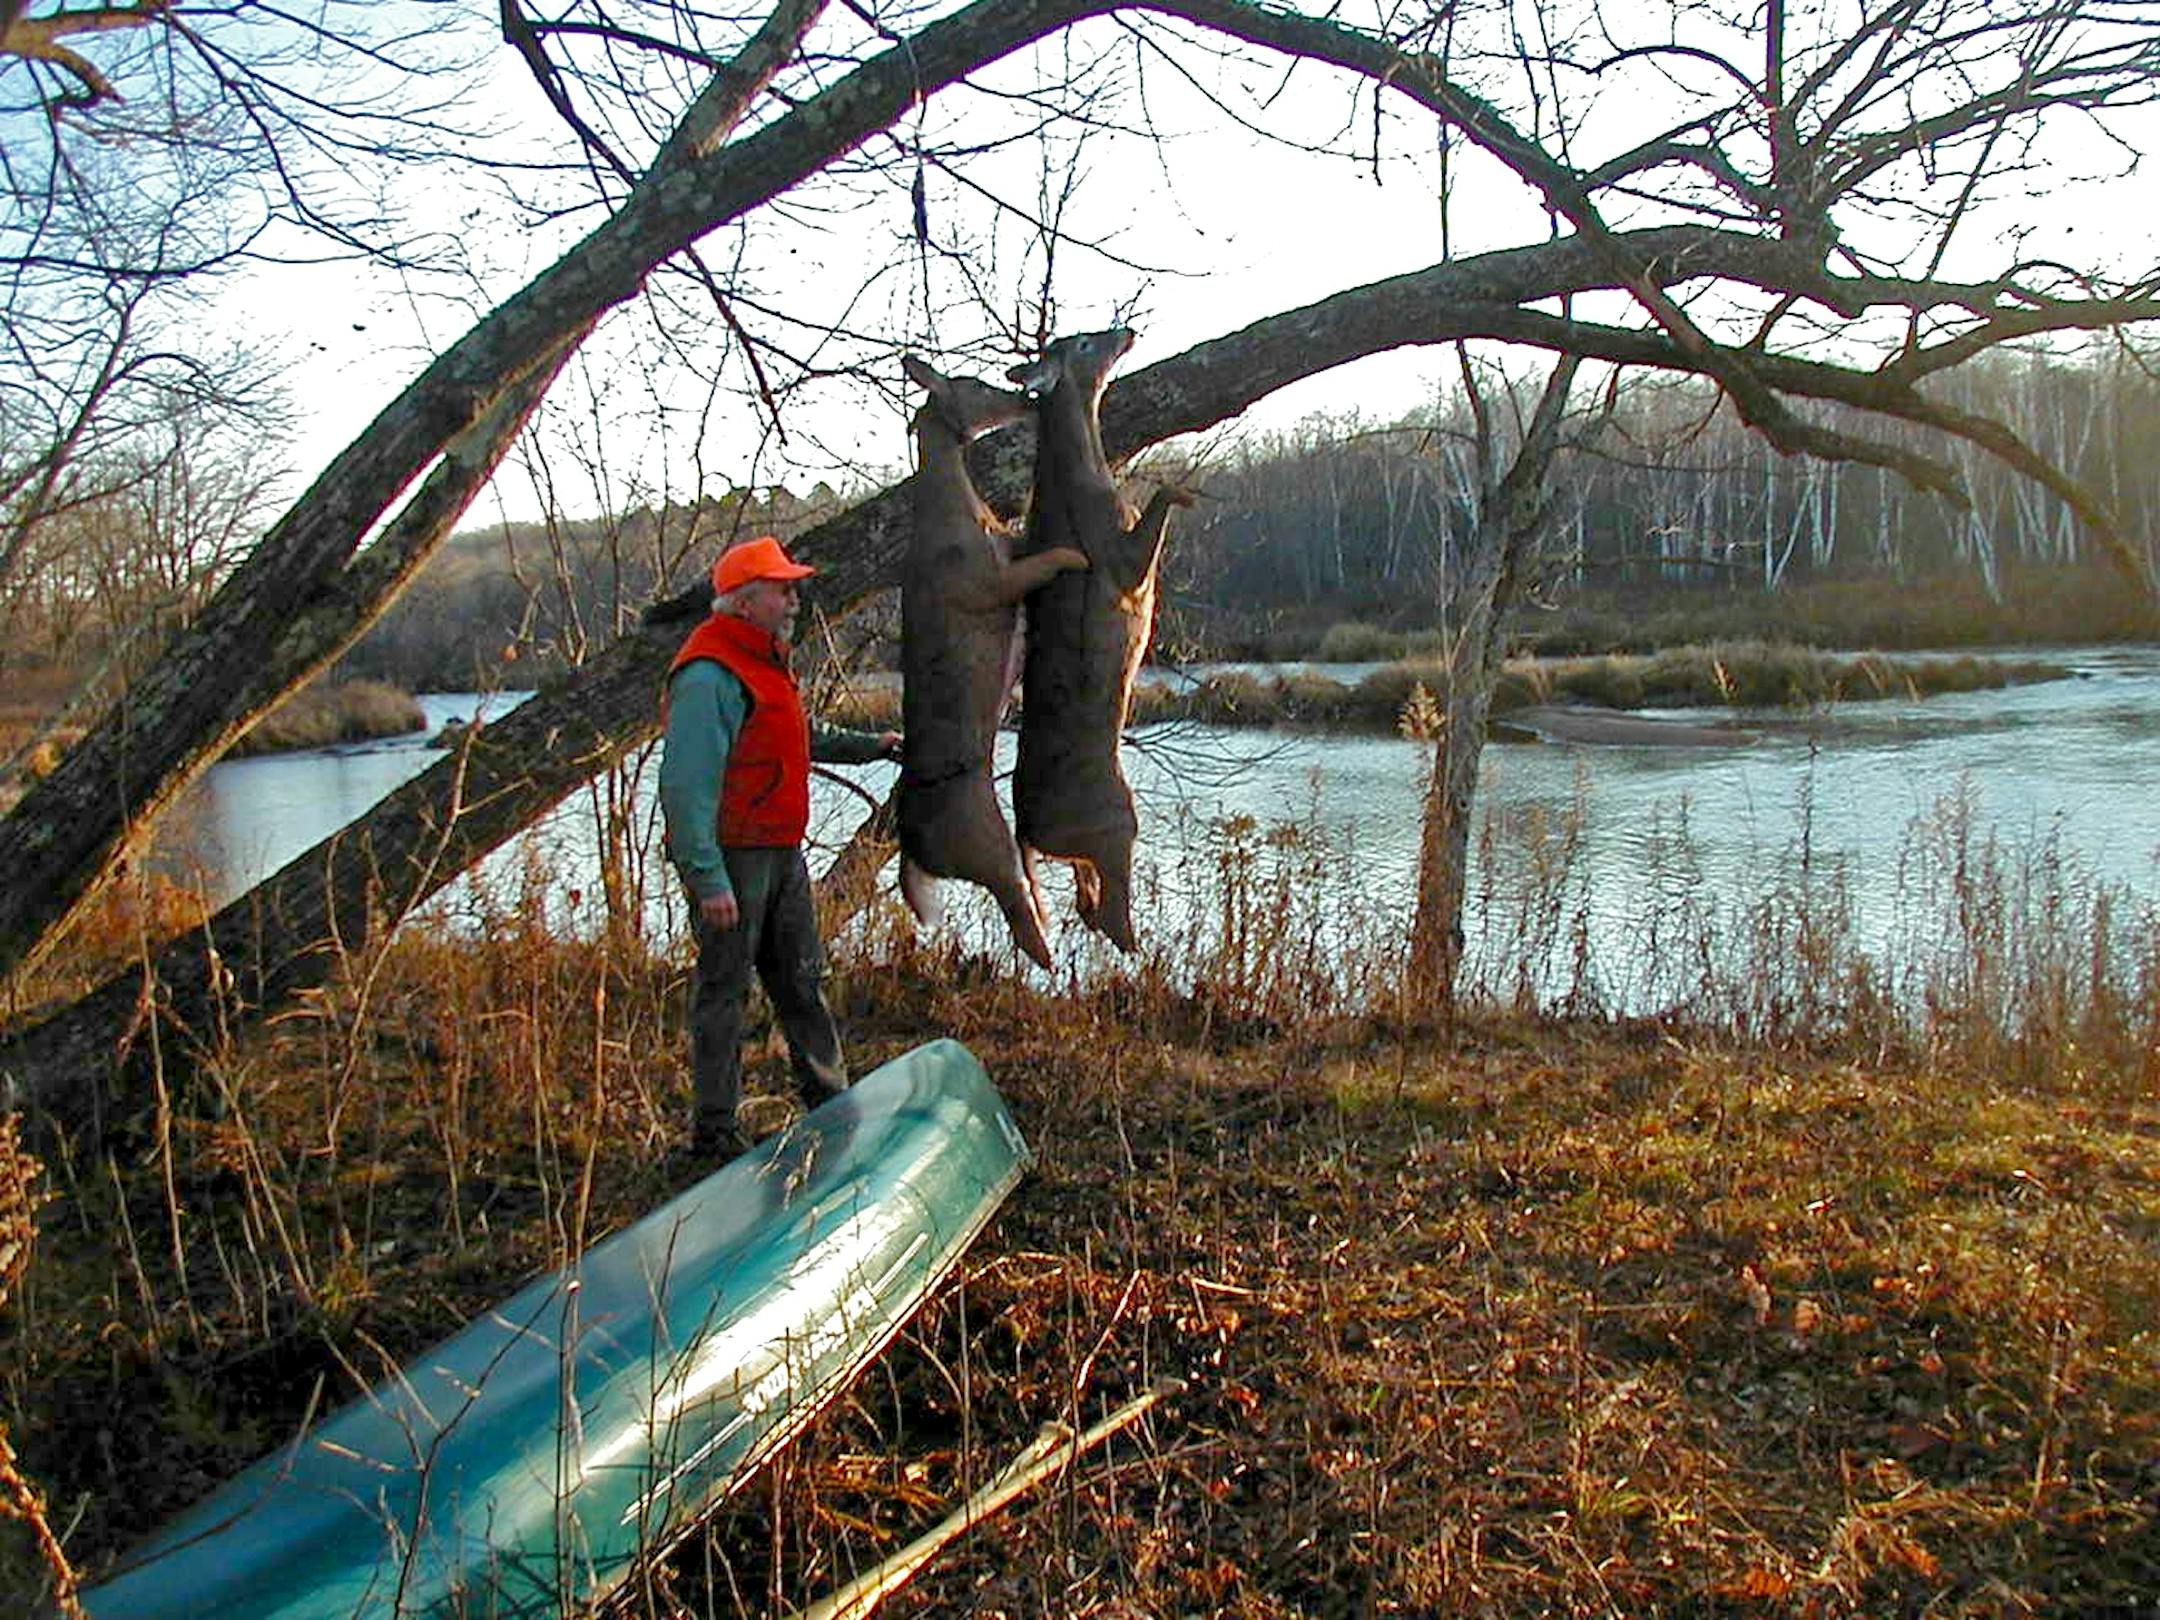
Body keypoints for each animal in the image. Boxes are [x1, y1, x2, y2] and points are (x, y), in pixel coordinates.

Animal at [896, 354, 1089, 970]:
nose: (1023, 396)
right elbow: (1043, 558)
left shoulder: (1009, 550)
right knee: (1019, 912)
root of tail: (915, 844)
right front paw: (1074, 553)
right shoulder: (990, 584)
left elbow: (1027, 536)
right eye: (975, 386)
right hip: (987, 846)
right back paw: (1049, 949)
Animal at [1007, 328, 1194, 953]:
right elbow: (1159, 499)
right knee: (1111, 916)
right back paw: (1142, 944)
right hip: (1117, 821)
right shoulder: (1122, 560)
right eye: (1085, 343)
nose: (1126, 331)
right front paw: (1188, 493)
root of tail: (1026, 829)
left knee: (1085, 902)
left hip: (1083, 848)